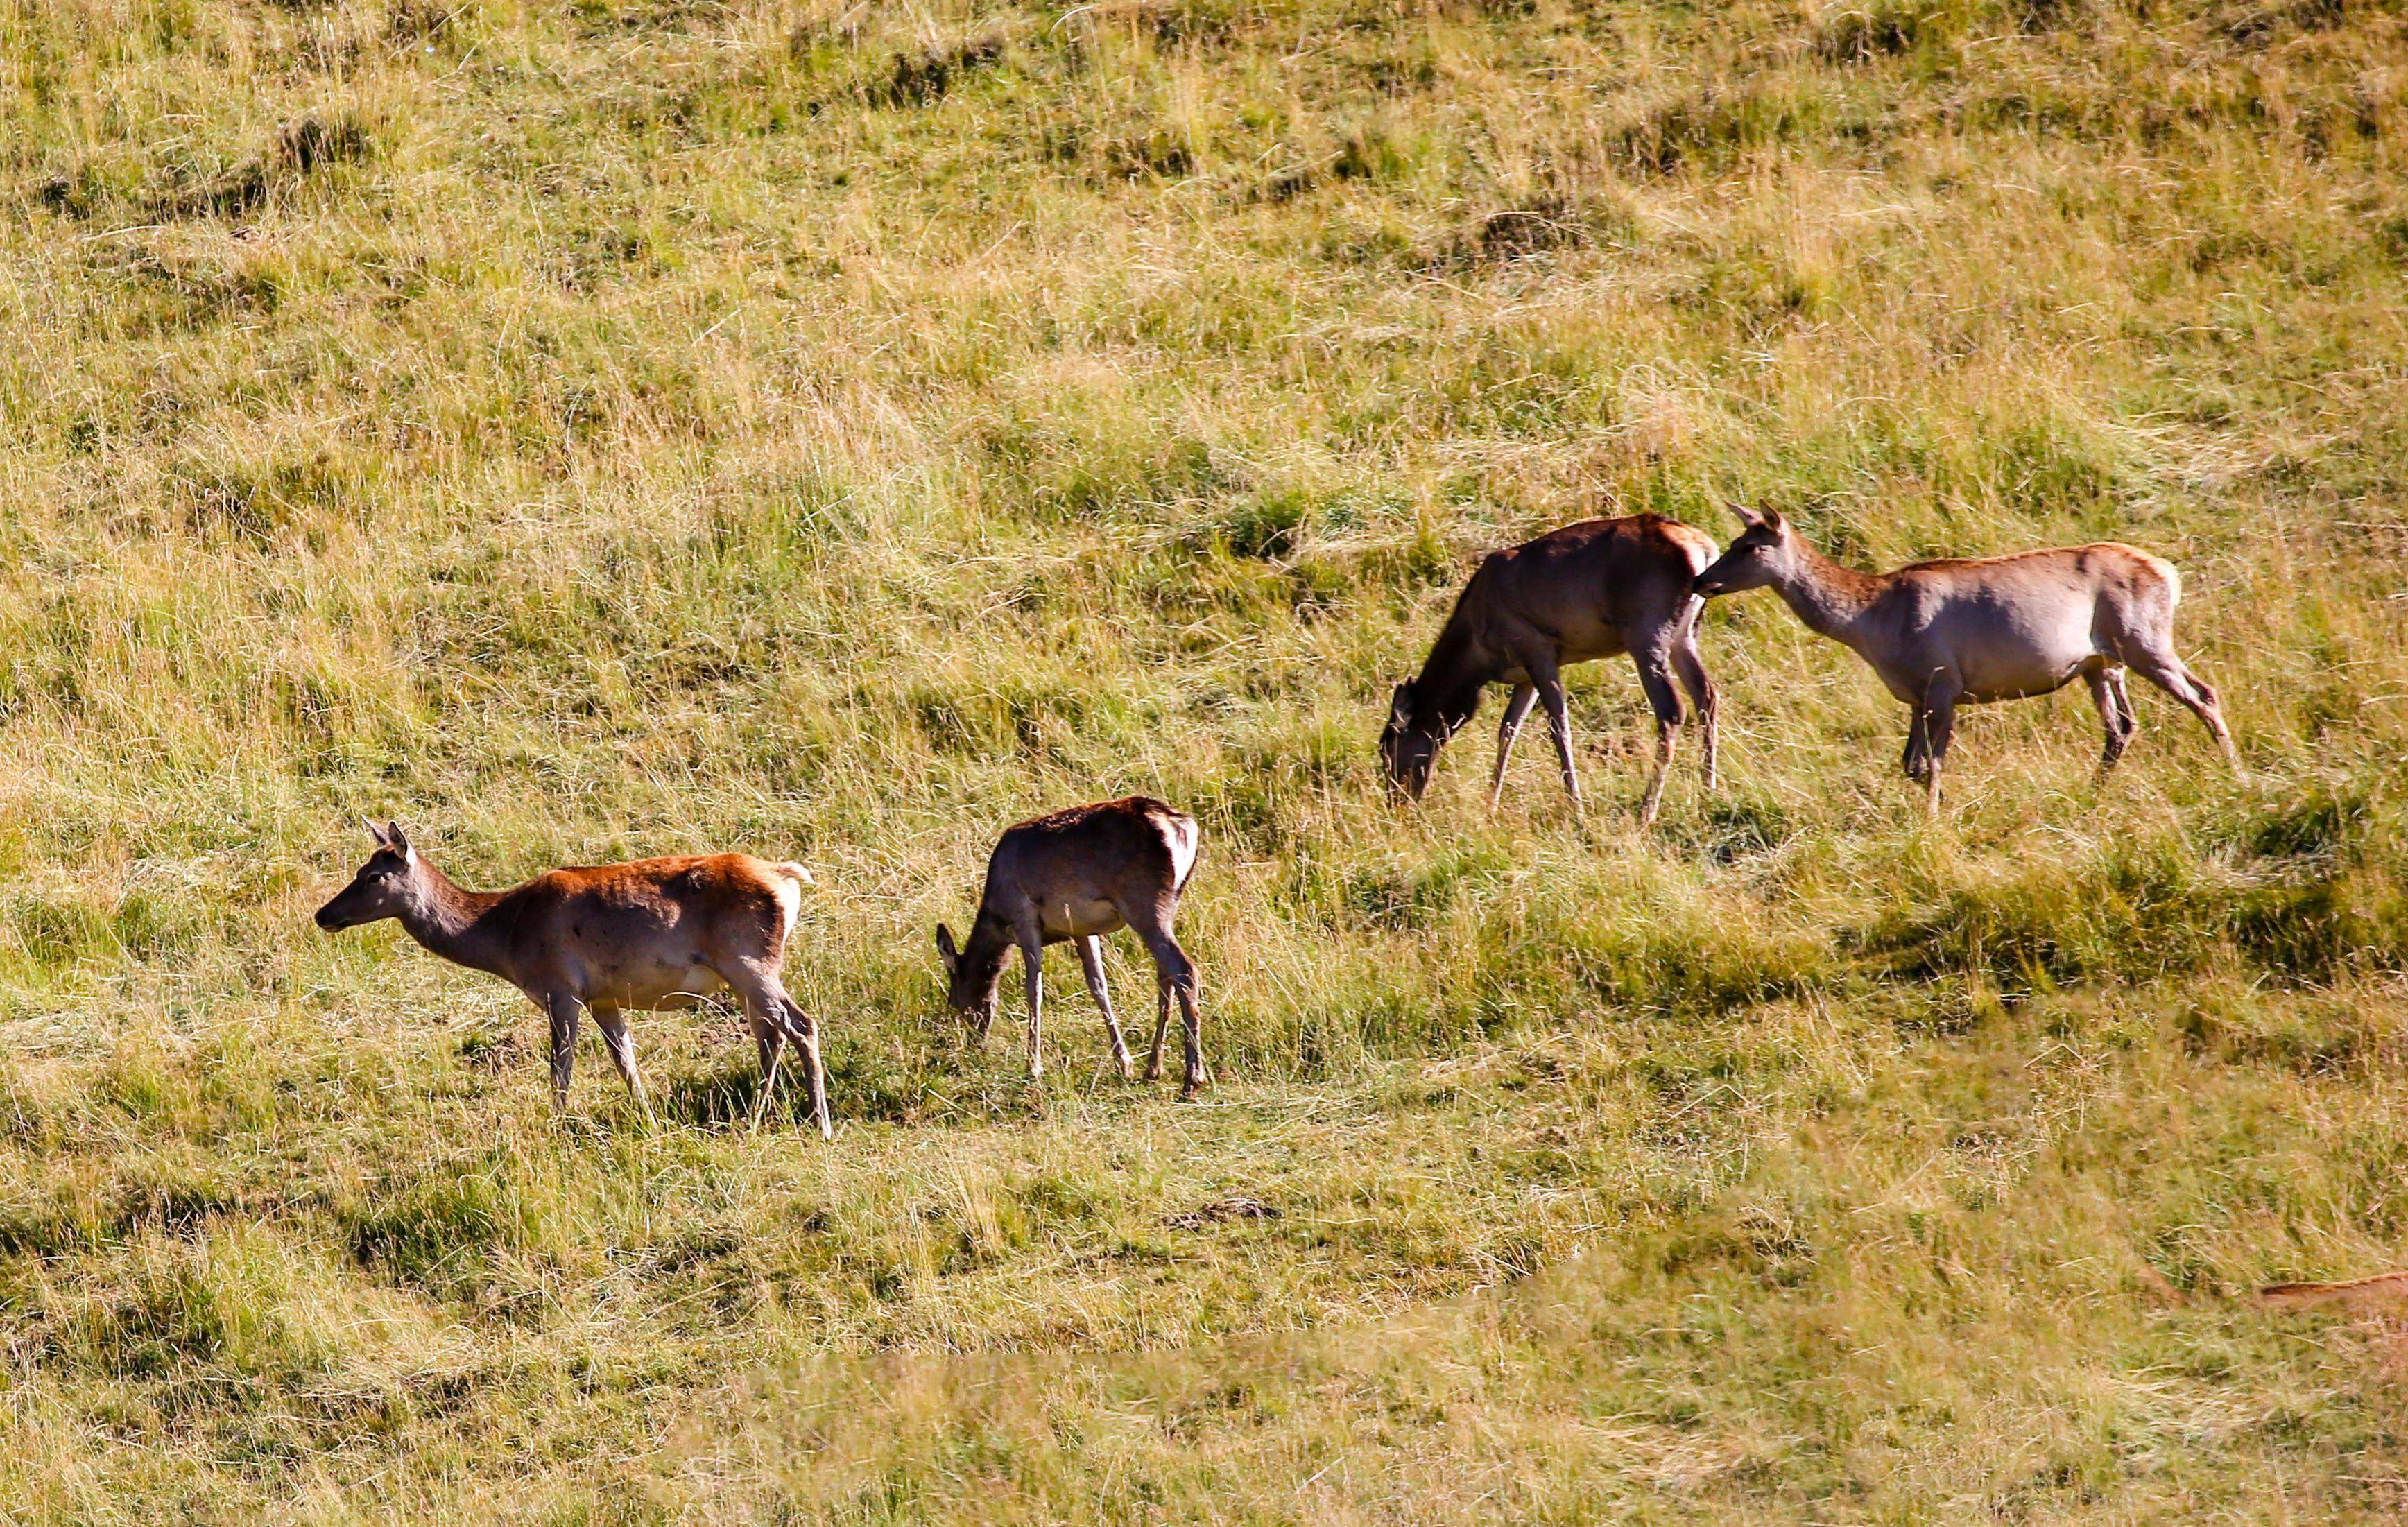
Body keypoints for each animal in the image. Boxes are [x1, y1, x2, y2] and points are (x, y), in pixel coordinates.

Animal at [318, 818, 828, 1132]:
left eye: (374, 877)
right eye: (360, 867)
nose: (324, 914)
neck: (506, 936)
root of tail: (785, 877)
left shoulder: (559, 987)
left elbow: (560, 1066)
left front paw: (557, 1127)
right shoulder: (603, 997)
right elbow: (626, 1062)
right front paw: (649, 1121)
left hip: (748, 961)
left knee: (800, 1024)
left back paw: (818, 1122)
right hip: (747, 972)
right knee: (771, 1034)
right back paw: (756, 1116)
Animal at [934, 795, 1213, 1093]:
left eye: (955, 1002)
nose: (974, 1046)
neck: (997, 917)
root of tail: (1180, 824)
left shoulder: (1025, 916)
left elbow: (1034, 988)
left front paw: (1033, 1067)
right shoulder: (1081, 929)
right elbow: (1098, 985)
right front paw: (1124, 1064)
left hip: (1145, 904)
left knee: (1184, 970)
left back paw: (1192, 1078)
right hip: (1167, 905)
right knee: (1165, 974)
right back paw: (1153, 1068)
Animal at [1377, 510, 1714, 818]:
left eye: (1387, 748)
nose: (1397, 803)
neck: (1478, 655)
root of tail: (1702, 549)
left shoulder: (1537, 648)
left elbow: (1558, 726)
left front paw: (1576, 805)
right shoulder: (1525, 675)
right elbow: (1508, 729)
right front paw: (1491, 803)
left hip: (1646, 631)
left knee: (1672, 711)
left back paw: (1647, 810)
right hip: (1686, 633)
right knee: (1706, 695)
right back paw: (1707, 788)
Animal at [1695, 503, 2235, 809]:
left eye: (1749, 547)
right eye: (1733, 540)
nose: (1702, 580)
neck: (1871, 625)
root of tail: (2170, 574)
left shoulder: (1943, 680)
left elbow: (1931, 765)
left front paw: (1933, 818)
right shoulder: (1916, 694)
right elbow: (1911, 765)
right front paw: (1941, 807)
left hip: (2144, 639)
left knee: (2204, 694)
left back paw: (2236, 774)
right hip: (2100, 663)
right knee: (2122, 726)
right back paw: (2091, 794)